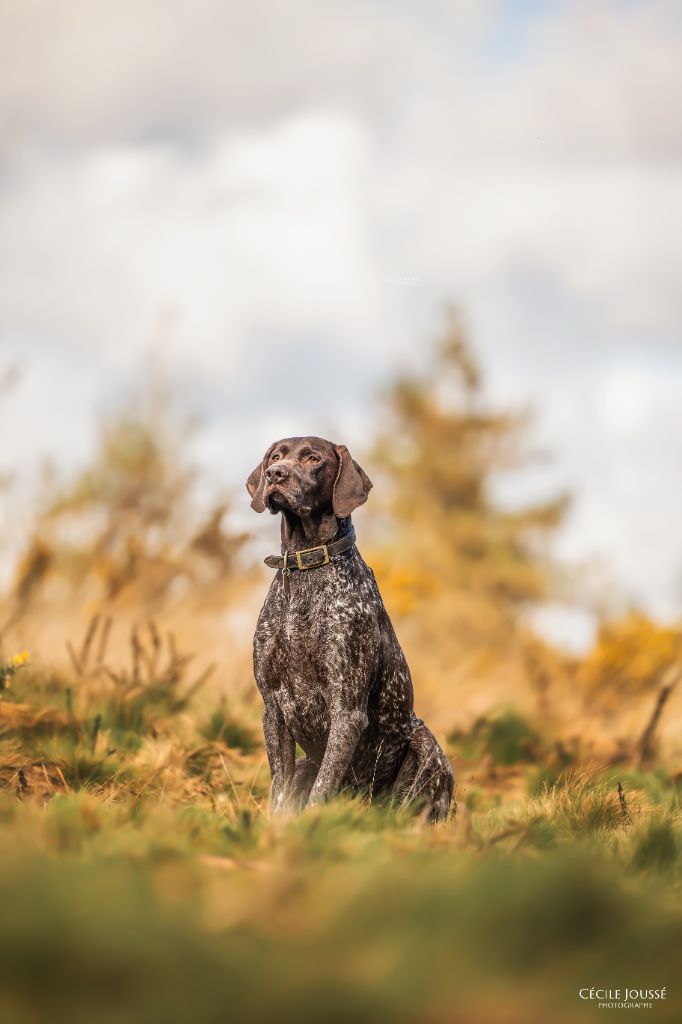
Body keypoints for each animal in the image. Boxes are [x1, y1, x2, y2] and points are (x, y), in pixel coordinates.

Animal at [244, 436, 450, 819]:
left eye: (313, 459)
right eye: (276, 456)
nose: (274, 473)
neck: (307, 567)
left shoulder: (347, 709)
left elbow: (322, 789)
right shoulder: (273, 708)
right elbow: (279, 791)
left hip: (426, 747)